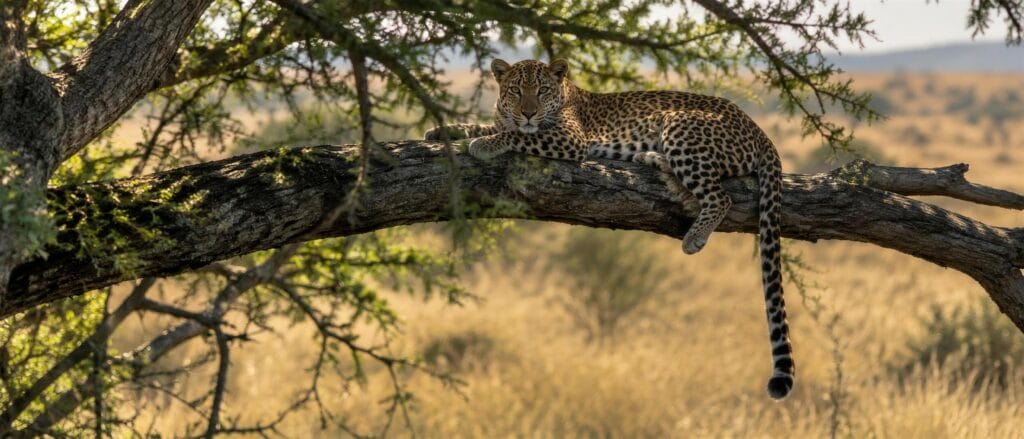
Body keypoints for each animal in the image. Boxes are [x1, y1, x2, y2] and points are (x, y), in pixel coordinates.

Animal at [425, 59, 795, 400]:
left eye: (541, 91)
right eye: (516, 90)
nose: (528, 113)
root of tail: (760, 131)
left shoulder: (569, 138)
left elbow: (516, 135)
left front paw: (485, 144)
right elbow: (482, 124)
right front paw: (443, 130)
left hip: (680, 125)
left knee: (720, 196)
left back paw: (695, 235)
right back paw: (651, 159)